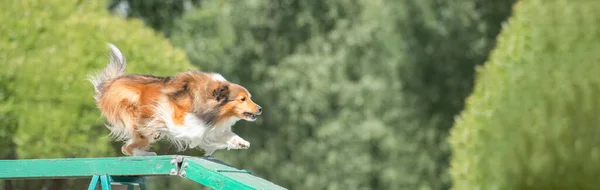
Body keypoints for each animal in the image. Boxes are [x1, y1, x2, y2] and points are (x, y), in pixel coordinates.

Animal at [88, 43, 262, 157]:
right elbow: (193, 132)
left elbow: (219, 134)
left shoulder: (211, 126)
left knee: (127, 147)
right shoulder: (176, 116)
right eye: (242, 99)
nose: (260, 109)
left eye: (249, 98)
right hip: (130, 108)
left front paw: (241, 142)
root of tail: (109, 84)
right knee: (128, 146)